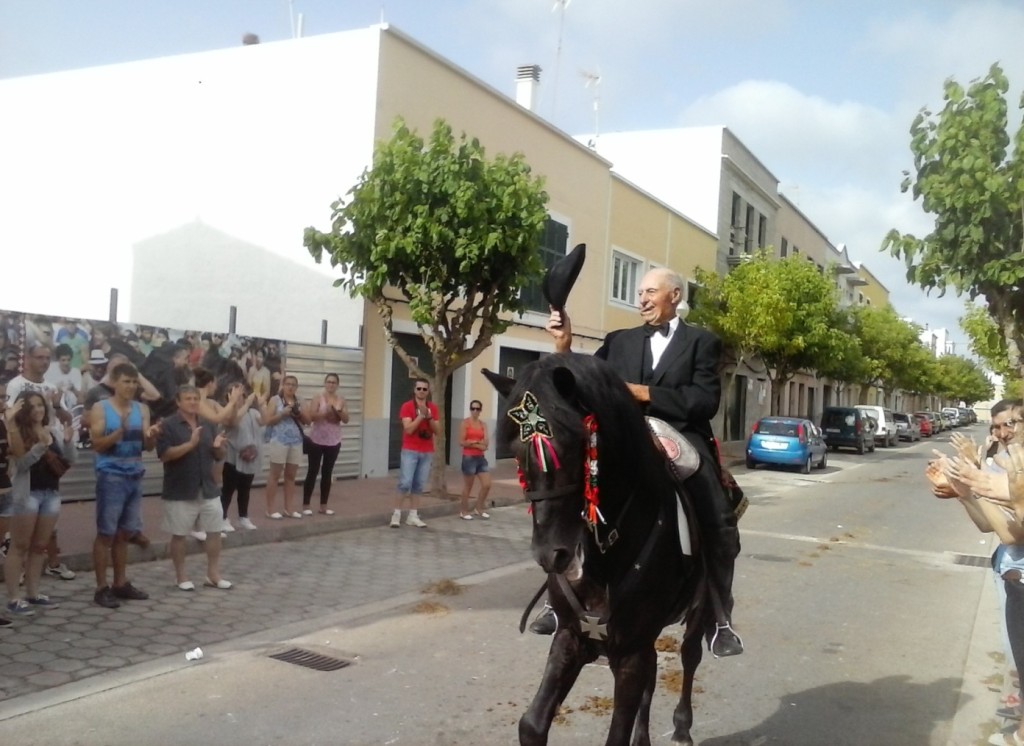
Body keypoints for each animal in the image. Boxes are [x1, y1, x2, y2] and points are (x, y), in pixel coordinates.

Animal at [483, 349, 708, 744]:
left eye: (575, 448)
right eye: (516, 453)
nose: (551, 554)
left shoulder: (630, 652)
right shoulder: (573, 638)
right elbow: (532, 723)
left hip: (697, 608)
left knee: (690, 654)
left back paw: (682, 727)